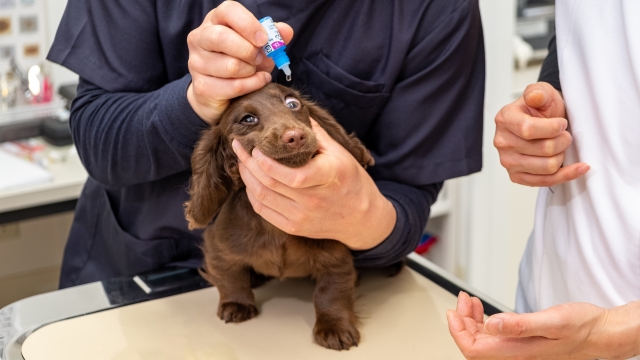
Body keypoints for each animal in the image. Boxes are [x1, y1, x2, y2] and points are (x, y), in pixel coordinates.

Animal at [185, 83, 372, 348]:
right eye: (247, 119)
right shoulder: (218, 248)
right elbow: (230, 277)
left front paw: (335, 327)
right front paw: (236, 303)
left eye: (293, 103)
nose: (295, 137)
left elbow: (331, 292)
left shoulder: (336, 259)